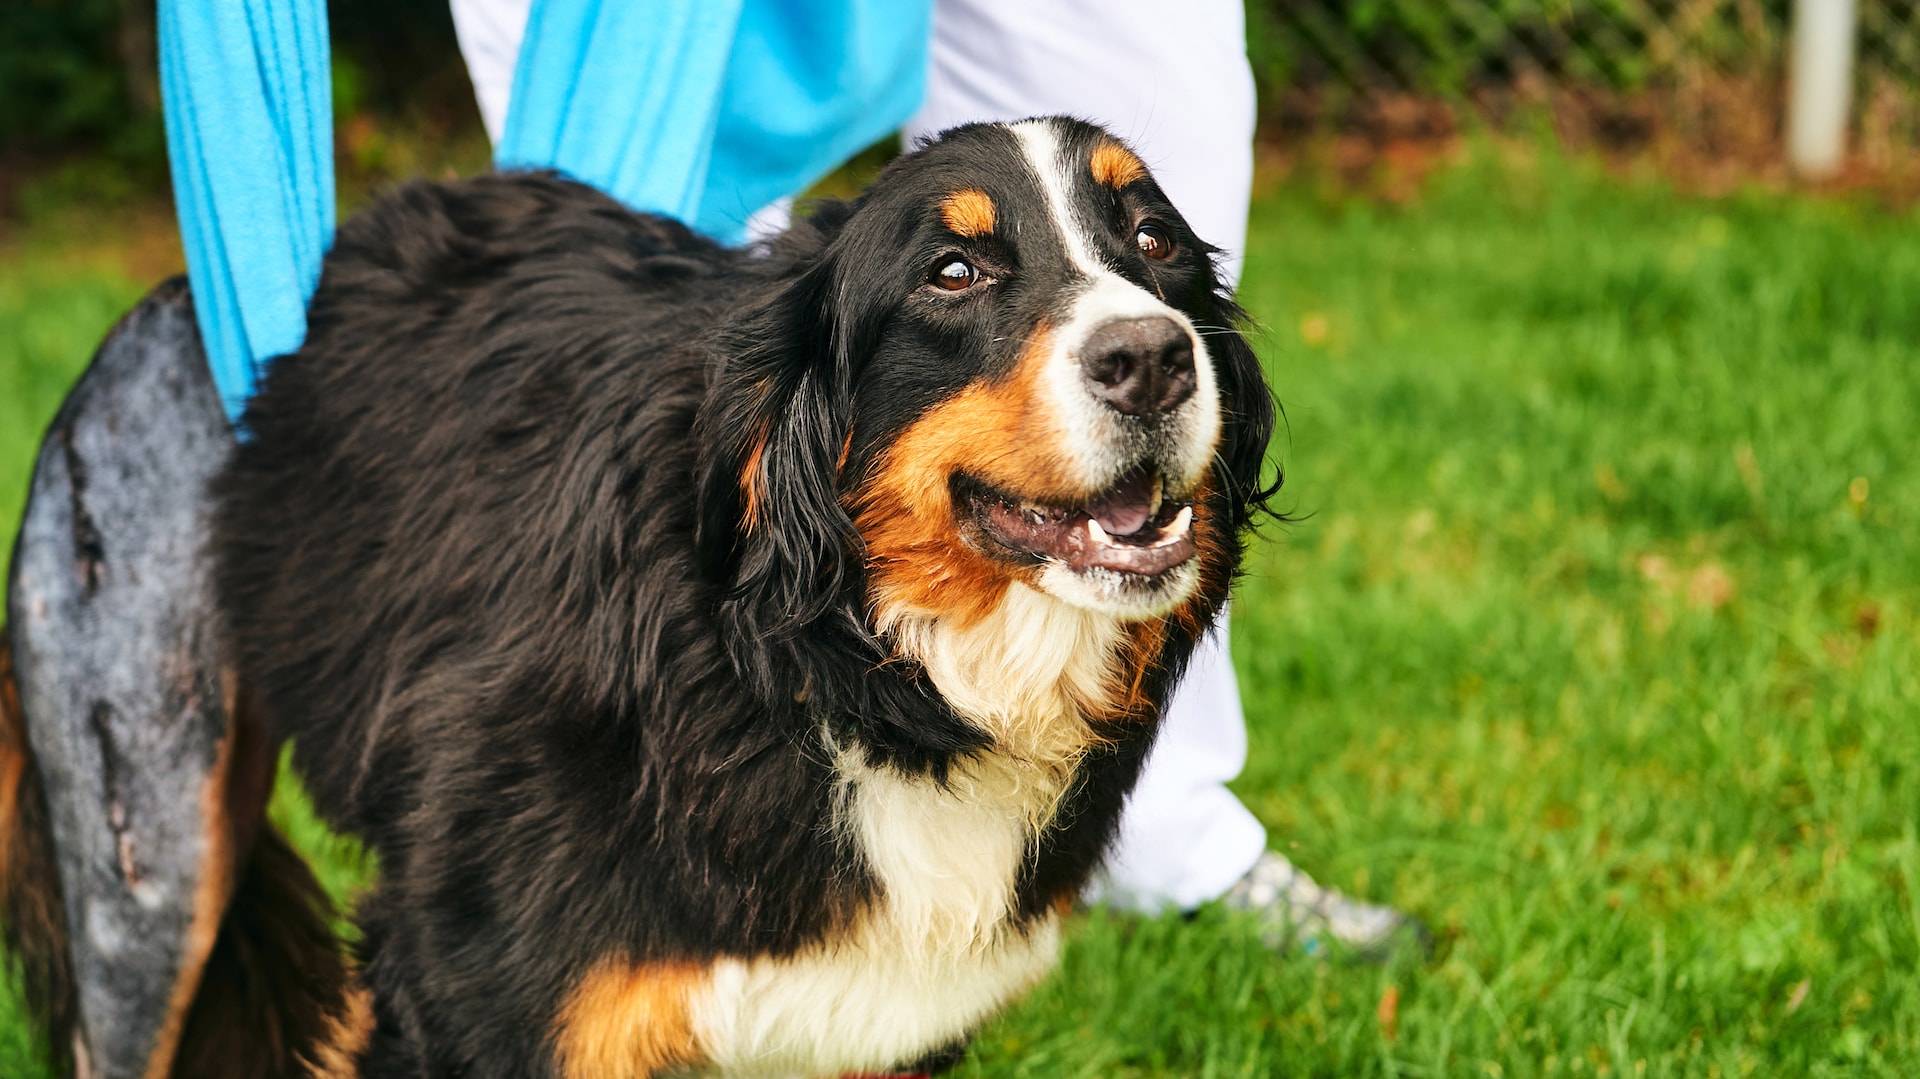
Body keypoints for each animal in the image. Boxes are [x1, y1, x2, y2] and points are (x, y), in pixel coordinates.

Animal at [15, 113, 1282, 1067]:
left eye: (1156, 240)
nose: (1154, 359)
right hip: (150, 872)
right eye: (955, 272)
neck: (833, 666)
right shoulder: (475, 996)